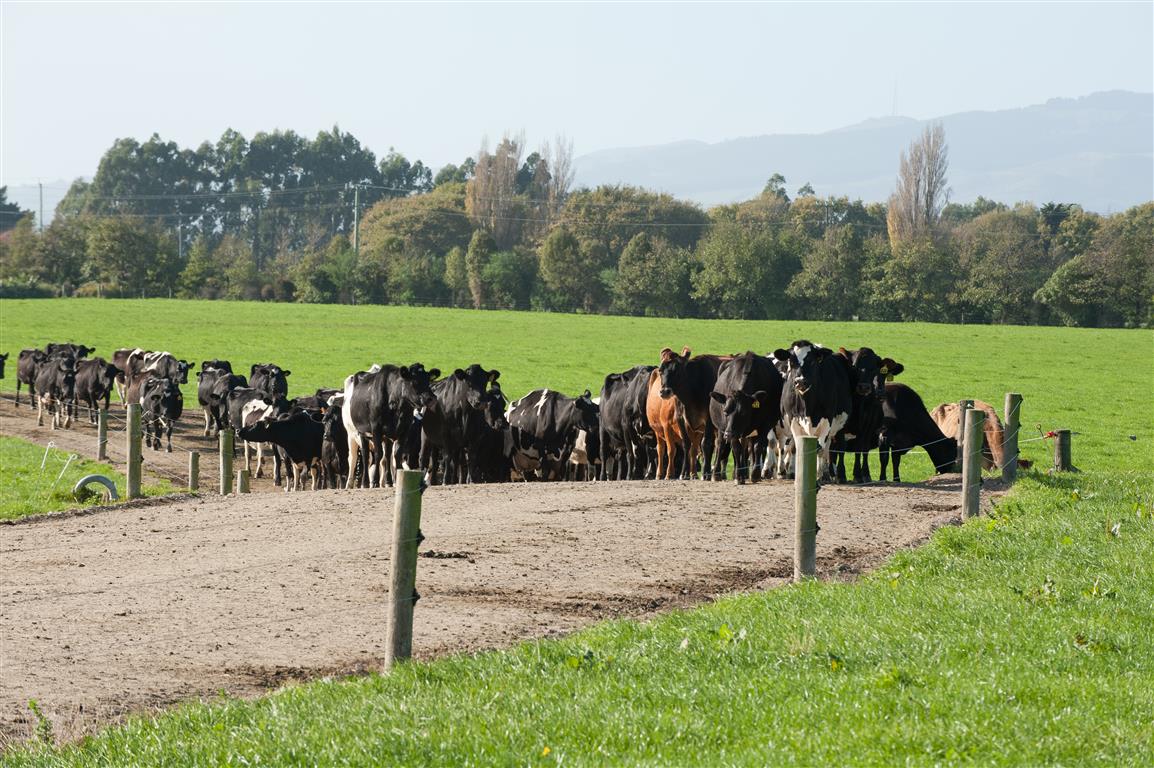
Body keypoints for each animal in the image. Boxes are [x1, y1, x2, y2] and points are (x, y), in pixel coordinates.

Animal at [701, 350, 784, 482]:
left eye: (744, 412)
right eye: (726, 411)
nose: (728, 434)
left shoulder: (764, 424)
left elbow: (758, 446)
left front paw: (755, 474)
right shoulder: (731, 428)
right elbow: (736, 448)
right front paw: (739, 476)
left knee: (747, 447)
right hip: (722, 427)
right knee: (720, 444)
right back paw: (717, 473)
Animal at [770, 339, 853, 479]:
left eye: (813, 362)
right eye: (791, 361)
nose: (800, 381)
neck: (807, 406)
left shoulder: (827, 421)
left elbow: (819, 450)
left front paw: (818, 476)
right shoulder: (793, 421)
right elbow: (796, 448)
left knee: (826, 448)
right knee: (781, 445)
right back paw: (781, 471)